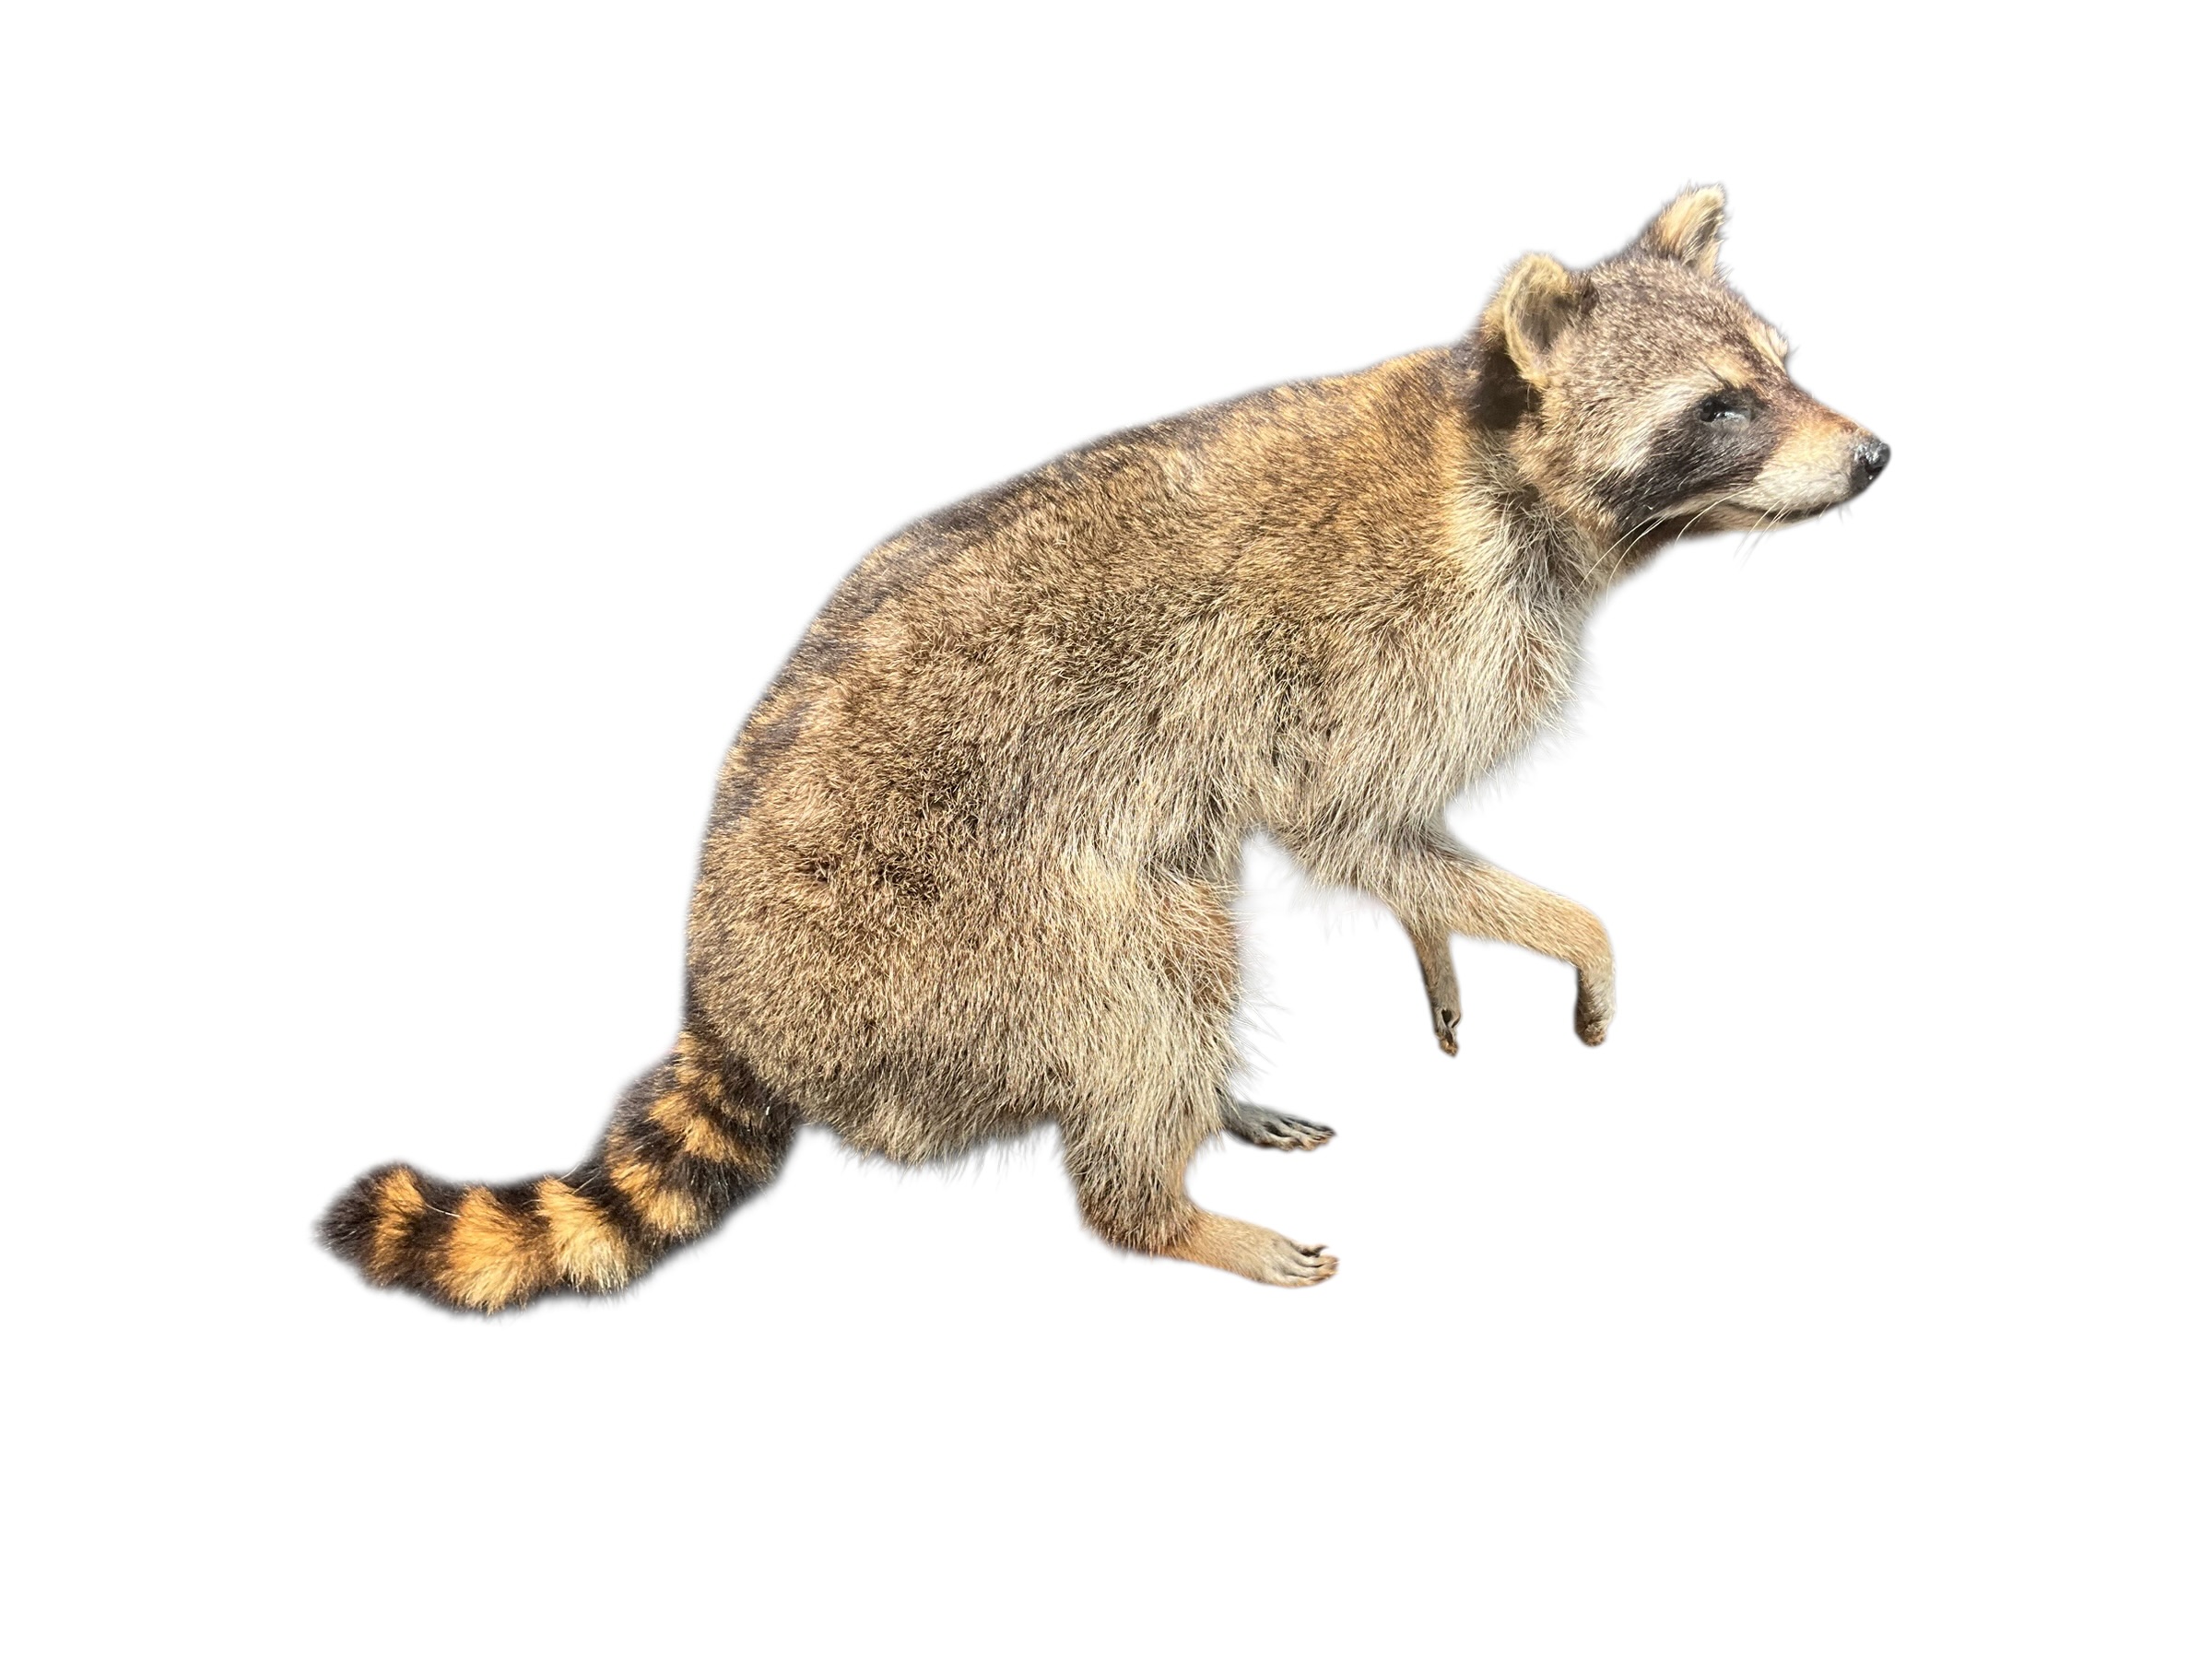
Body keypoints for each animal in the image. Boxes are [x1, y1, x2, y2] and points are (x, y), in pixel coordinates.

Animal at [322, 186, 1886, 1309]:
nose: (1873, 455)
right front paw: (1562, 927)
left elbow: (1397, 847)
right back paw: (1164, 1203)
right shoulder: (1382, 644)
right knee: (1148, 965)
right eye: (1721, 406)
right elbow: (1349, 825)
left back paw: (1210, 1110)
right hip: (942, 948)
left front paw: (1439, 935)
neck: (1497, 465)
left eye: (1783, 369)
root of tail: (730, 1007)